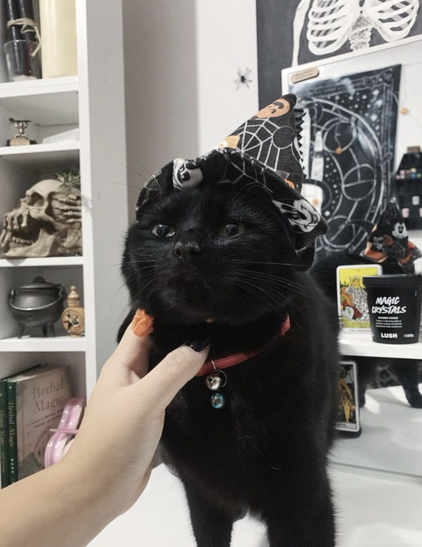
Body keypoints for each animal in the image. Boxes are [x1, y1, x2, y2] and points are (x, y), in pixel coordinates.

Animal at [119, 169, 340, 546]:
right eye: (162, 230)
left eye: (231, 229)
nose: (185, 248)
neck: (220, 366)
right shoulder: (203, 492)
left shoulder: (304, 497)